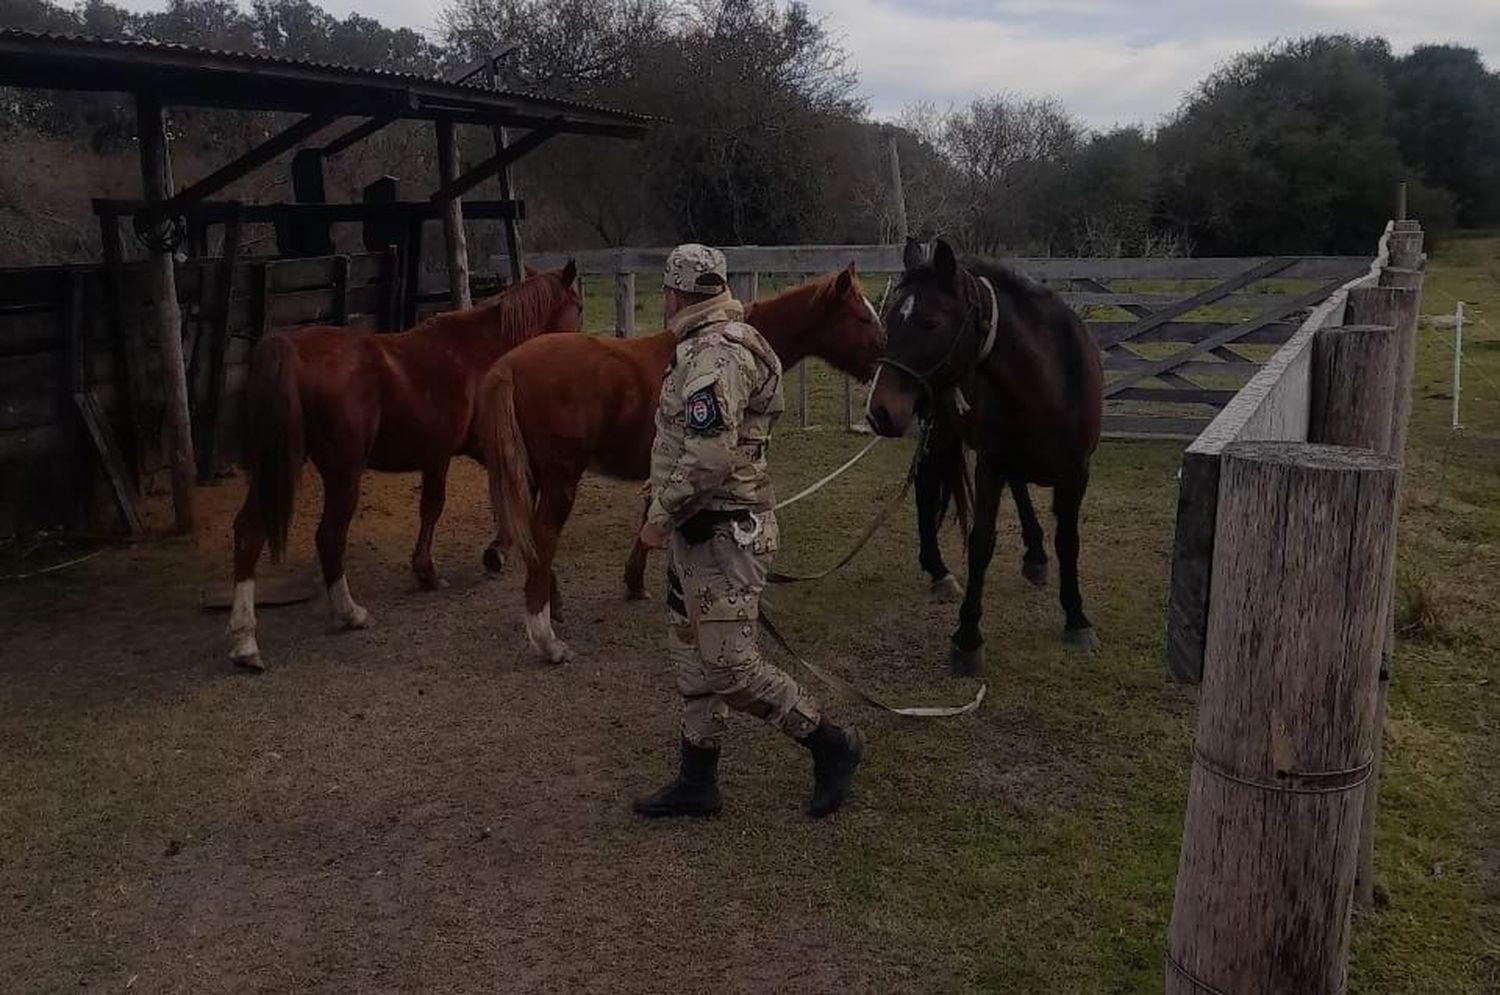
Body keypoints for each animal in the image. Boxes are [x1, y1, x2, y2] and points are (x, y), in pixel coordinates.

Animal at [226, 261, 579, 672]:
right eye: (578, 306)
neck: (483, 351)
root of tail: (292, 348)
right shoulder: (482, 449)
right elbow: (499, 496)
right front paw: (496, 551)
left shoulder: (439, 456)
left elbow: (433, 508)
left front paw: (431, 569)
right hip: (343, 473)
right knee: (329, 537)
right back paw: (350, 613)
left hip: (277, 466)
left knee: (249, 531)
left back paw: (245, 641)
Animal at [480, 268, 882, 666]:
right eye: (861, 317)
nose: (884, 362)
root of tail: (509, 365)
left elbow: (652, 515)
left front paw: (636, 581)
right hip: (560, 478)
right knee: (544, 537)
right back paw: (547, 640)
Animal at [870, 241, 1104, 678]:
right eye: (889, 319)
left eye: (930, 323)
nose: (879, 411)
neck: (1051, 381)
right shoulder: (991, 464)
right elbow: (981, 543)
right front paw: (967, 637)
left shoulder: (1076, 473)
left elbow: (1069, 541)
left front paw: (1076, 618)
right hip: (940, 429)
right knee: (926, 485)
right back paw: (939, 571)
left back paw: (1035, 556)